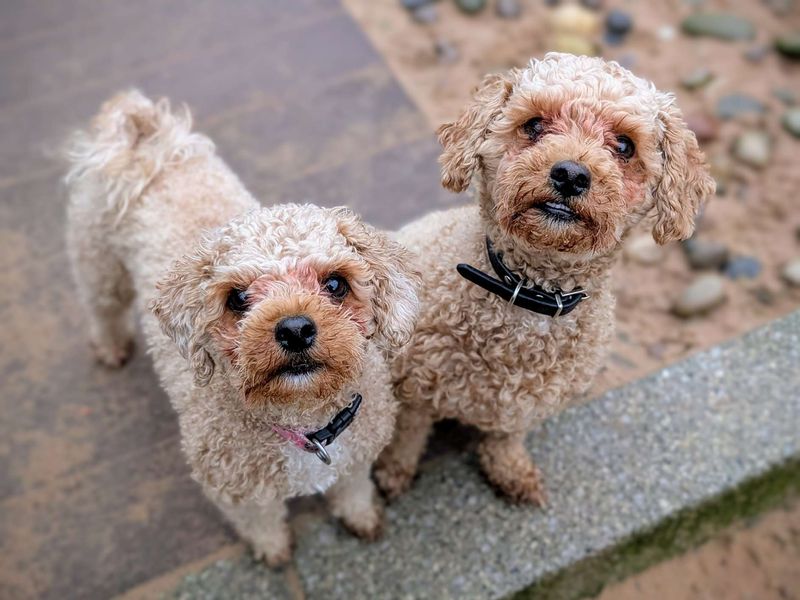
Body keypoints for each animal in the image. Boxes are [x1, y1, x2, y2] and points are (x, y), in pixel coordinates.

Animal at [62, 91, 418, 564]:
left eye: (335, 284)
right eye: (236, 299)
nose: (295, 329)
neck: (304, 424)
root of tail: (146, 142)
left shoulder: (356, 458)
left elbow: (352, 490)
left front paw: (362, 518)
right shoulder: (235, 489)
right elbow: (261, 522)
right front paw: (273, 552)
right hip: (99, 266)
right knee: (102, 310)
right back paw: (110, 348)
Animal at [372, 54, 716, 504]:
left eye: (625, 145)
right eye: (533, 124)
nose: (570, 173)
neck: (529, 292)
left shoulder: (526, 405)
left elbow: (505, 438)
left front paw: (511, 472)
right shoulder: (414, 387)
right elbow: (407, 436)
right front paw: (392, 474)